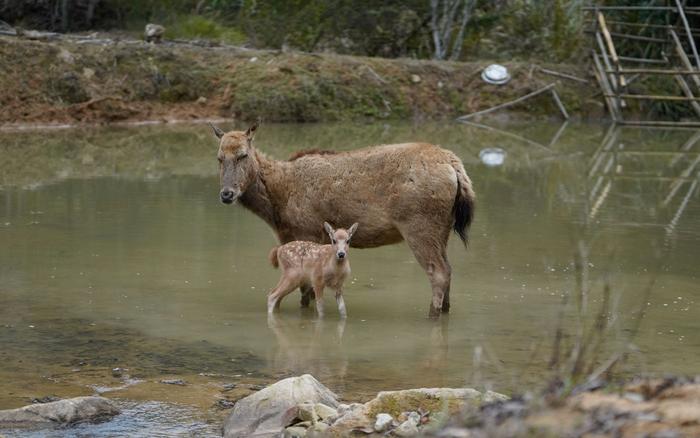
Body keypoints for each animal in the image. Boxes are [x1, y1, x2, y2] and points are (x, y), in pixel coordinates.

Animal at [212, 121, 476, 316]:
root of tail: (455, 167)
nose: (227, 194)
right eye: (219, 157)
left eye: (243, 155)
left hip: (419, 226)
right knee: (449, 270)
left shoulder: (307, 231)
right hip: (443, 229)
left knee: (438, 273)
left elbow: (306, 292)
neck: (277, 203)